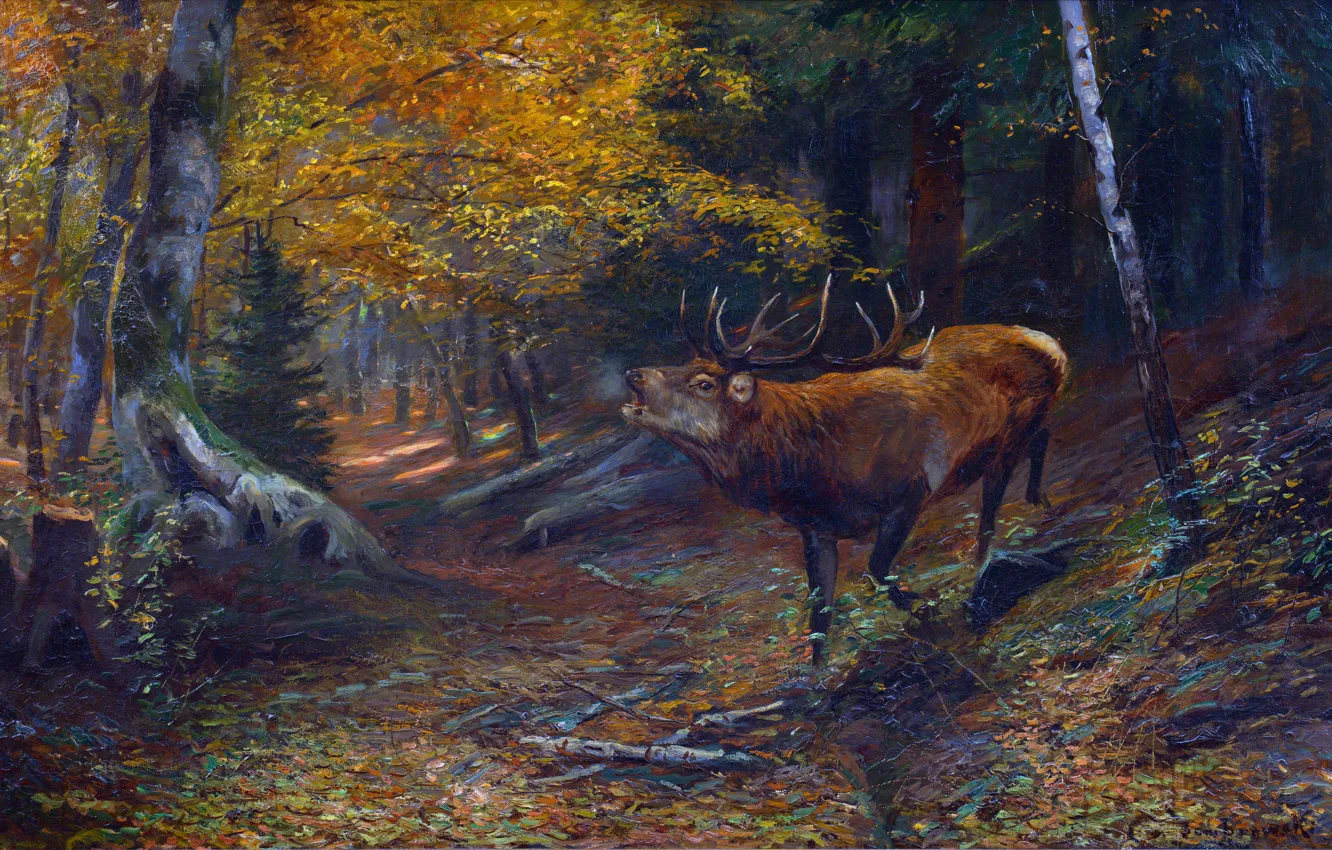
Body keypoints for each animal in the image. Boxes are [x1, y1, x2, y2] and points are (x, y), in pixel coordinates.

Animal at [622, 276, 1067, 665]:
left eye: (703, 384)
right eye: (684, 364)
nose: (633, 374)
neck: (814, 469)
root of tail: (1052, 343)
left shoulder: (909, 494)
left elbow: (876, 570)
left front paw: (923, 609)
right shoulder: (816, 529)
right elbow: (820, 613)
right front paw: (815, 676)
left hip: (1007, 438)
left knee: (991, 511)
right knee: (1042, 438)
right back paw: (1037, 501)